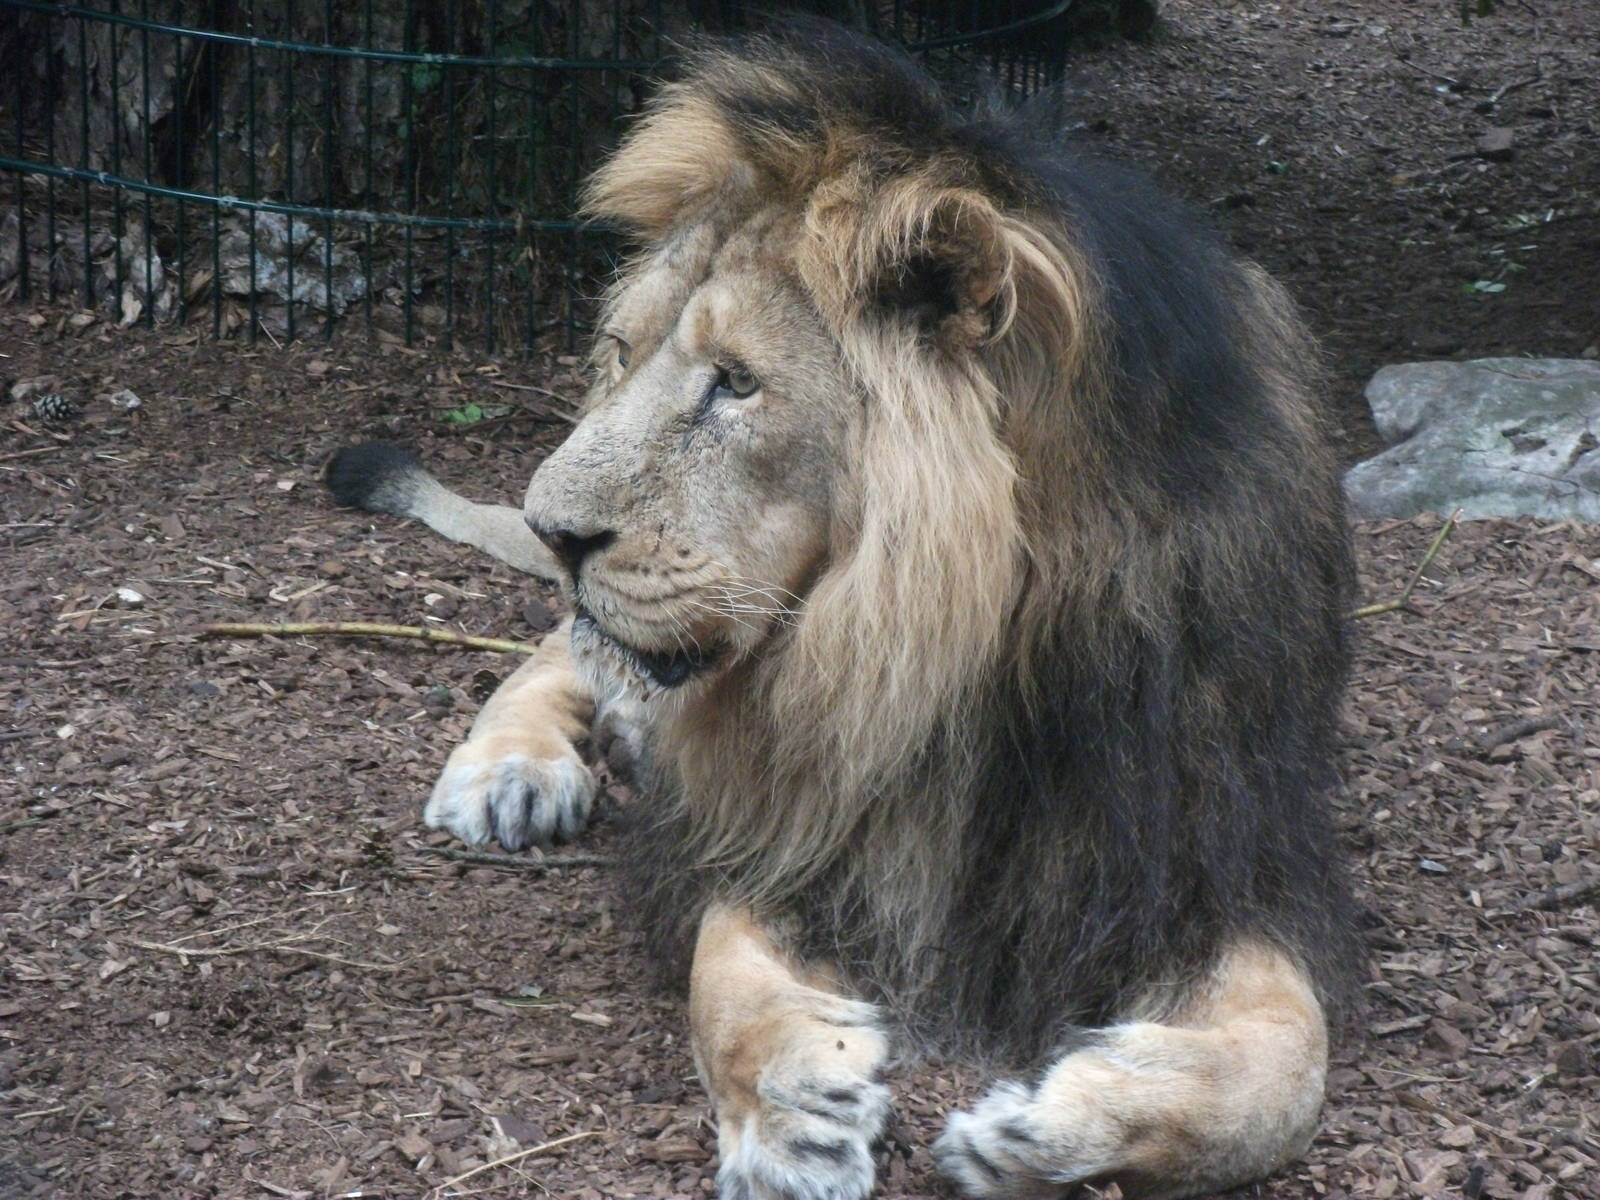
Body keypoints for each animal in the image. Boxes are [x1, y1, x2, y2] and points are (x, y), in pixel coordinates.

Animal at [329, 25, 1359, 1200]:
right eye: (622, 355)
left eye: (736, 383)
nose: (554, 531)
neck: (975, 665)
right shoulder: (774, 833)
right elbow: (726, 986)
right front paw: (793, 1119)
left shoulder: (1212, 859)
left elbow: (1287, 1071)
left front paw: (1046, 1132)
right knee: (562, 649)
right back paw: (510, 771)